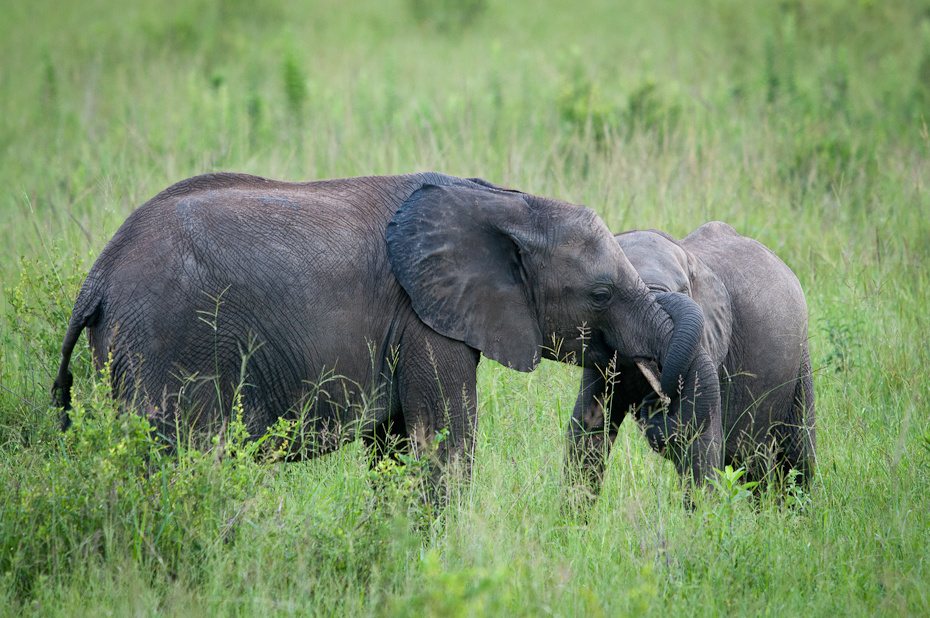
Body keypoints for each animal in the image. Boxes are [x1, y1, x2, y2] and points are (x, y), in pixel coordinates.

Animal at [50, 171, 708, 488]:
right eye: (600, 293)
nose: (659, 410)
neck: (504, 202)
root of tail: (97, 278)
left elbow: (394, 450)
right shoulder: (423, 318)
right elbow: (445, 443)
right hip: (169, 346)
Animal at [564, 221, 812, 500]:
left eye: (683, 291)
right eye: (605, 296)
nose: (653, 402)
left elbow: (701, 446)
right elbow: (586, 431)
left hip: (800, 362)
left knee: (796, 459)